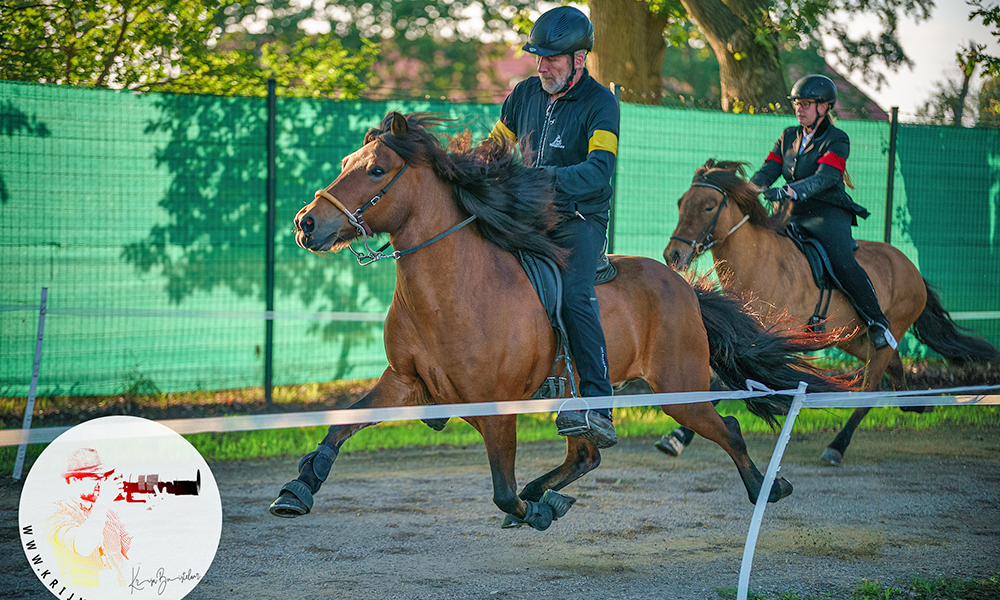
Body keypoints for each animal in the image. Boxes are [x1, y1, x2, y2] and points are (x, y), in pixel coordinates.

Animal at [274, 115, 852, 532]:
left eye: (376, 171)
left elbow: (502, 491)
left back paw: (766, 488)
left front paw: (532, 511)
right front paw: (297, 489)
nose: (307, 222)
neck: (455, 289)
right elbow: (342, 424)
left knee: (726, 428)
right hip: (591, 401)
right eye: (347, 161)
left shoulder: (497, 409)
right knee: (587, 452)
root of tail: (683, 285)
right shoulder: (406, 383)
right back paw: (547, 491)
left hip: (680, 390)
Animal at [664, 158, 1000, 464]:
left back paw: (837, 446)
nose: (674, 255)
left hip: (886, 329)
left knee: (869, 390)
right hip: (855, 339)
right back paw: (915, 404)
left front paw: (678, 435)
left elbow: (722, 383)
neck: (759, 262)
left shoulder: (764, 341)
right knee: (893, 366)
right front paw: (676, 438)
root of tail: (911, 268)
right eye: (680, 204)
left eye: (709, 207)